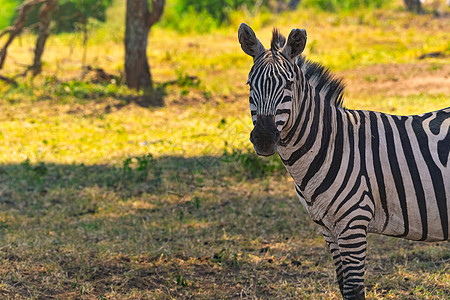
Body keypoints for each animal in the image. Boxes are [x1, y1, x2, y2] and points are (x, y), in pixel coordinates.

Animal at [237, 22, 448, 298]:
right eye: (250, 84)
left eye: (289, 84)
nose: (263, 138)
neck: (330, 144)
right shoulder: (328, 228)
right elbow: (342, 285)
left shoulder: (353, 223)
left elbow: (353, 289)